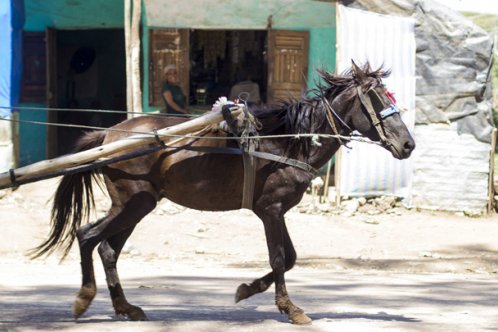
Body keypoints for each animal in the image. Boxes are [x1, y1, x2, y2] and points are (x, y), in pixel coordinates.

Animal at [31, 61, 416, 324]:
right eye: (375, 98)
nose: (408, 144)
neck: (289, 141)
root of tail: (109, 135)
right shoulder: (271, 209)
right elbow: (280, 258)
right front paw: (290, 308)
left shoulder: (275, 210)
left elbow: (290, 257)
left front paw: (247, 290)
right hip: (132, 202)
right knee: (87, 236)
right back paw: (84, 298)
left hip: (138, 205)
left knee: (108, 248)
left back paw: (125, 307)